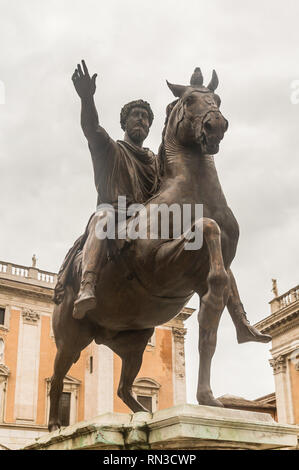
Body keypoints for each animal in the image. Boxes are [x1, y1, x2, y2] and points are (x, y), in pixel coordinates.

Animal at [47, 68, 251, 432]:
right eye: (190, 100)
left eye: (217, 99)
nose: (216, 125)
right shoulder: (157, 265)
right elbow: (207, 228)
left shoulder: (213, 271)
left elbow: (210, 327)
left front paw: (208, 399)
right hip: (70, 338)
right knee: (58, 377)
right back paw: (56, 425)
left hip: (135, 342)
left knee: (124, 387)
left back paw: (141, 415)